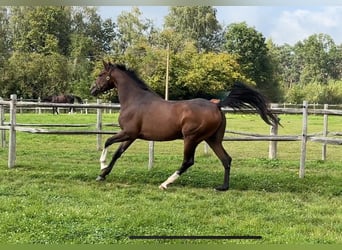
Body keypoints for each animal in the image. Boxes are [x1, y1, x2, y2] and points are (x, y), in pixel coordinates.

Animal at [89, 61, 280, 190]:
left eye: (100, 74)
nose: (92, 90)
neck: (135, 100)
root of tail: (217, 105)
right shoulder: (132, 135)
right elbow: (117, 153)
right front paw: (102, 174)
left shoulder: (128, 132)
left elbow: (107, 142)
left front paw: (101, 166)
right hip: (213, 139)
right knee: (226, 159)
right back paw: (223, 187)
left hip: (191, 138)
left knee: (188, 161)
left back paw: (165, 183)